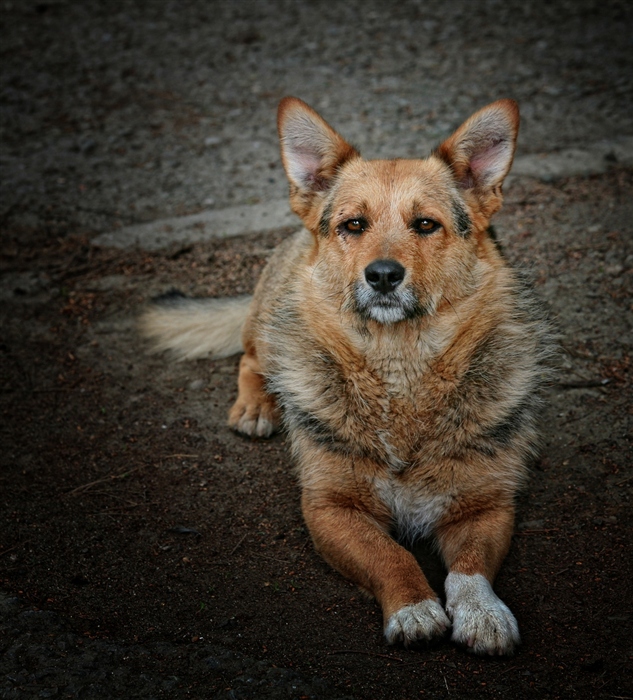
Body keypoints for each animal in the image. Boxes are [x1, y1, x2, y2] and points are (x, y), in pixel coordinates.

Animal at [142, 98, 552, 656]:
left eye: (426, 225)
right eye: (354, 224)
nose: (382, 275)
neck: (400, 367)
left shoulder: (486, 504)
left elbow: (469, 570)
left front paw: (483, 613)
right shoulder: (329, 507)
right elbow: (390, 555)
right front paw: (413, 608)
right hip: (270, 323)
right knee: (250, 359)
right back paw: (256, 406)